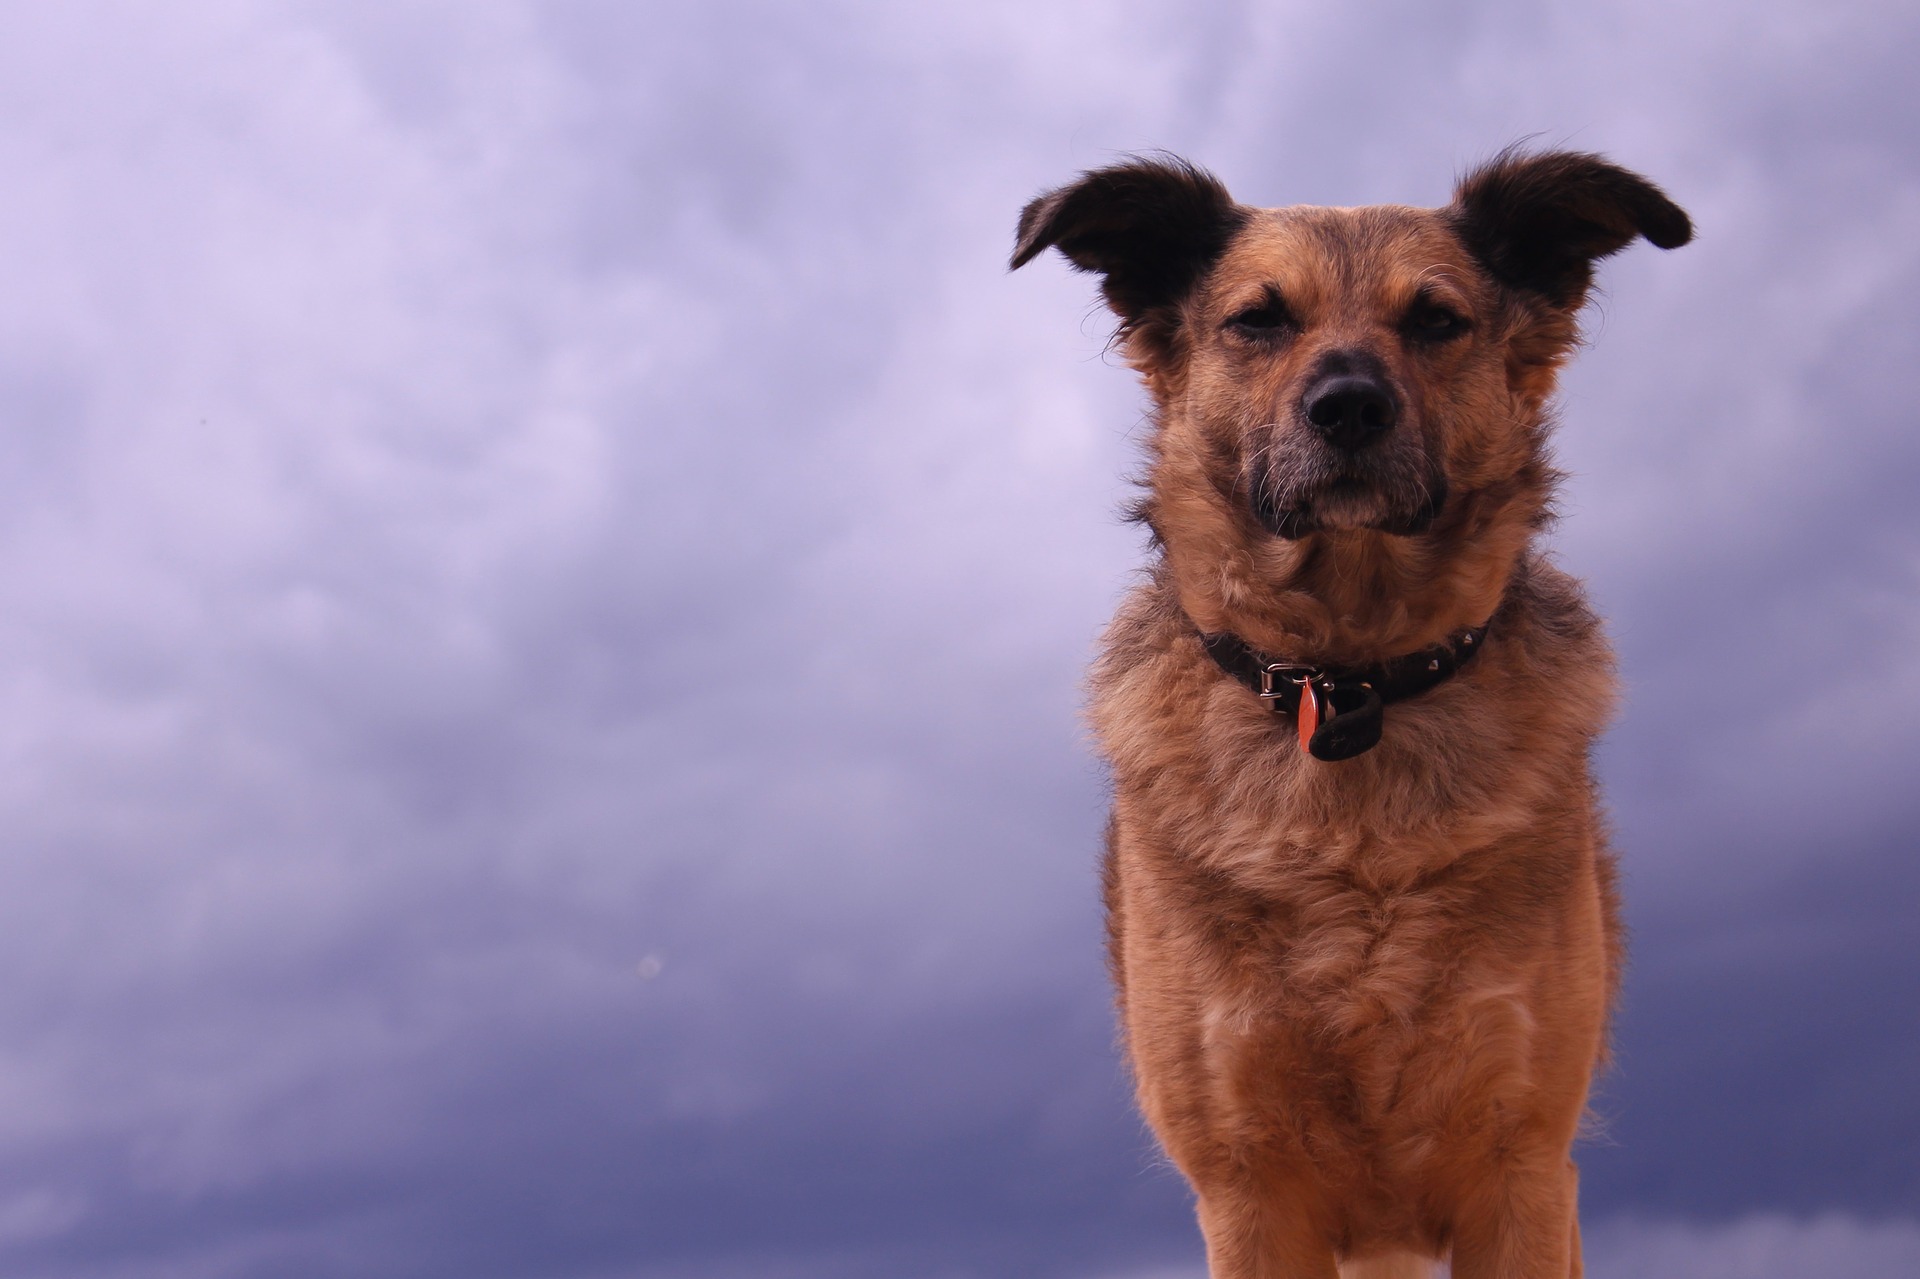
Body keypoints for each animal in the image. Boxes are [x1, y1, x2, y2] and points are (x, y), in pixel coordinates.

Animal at [1013, 151, 1689, 1275]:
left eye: (1436, 320)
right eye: (1257, 320)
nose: (1349, 409)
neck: (1347, 685)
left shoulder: (1522, 1171)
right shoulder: (1248, 1187)